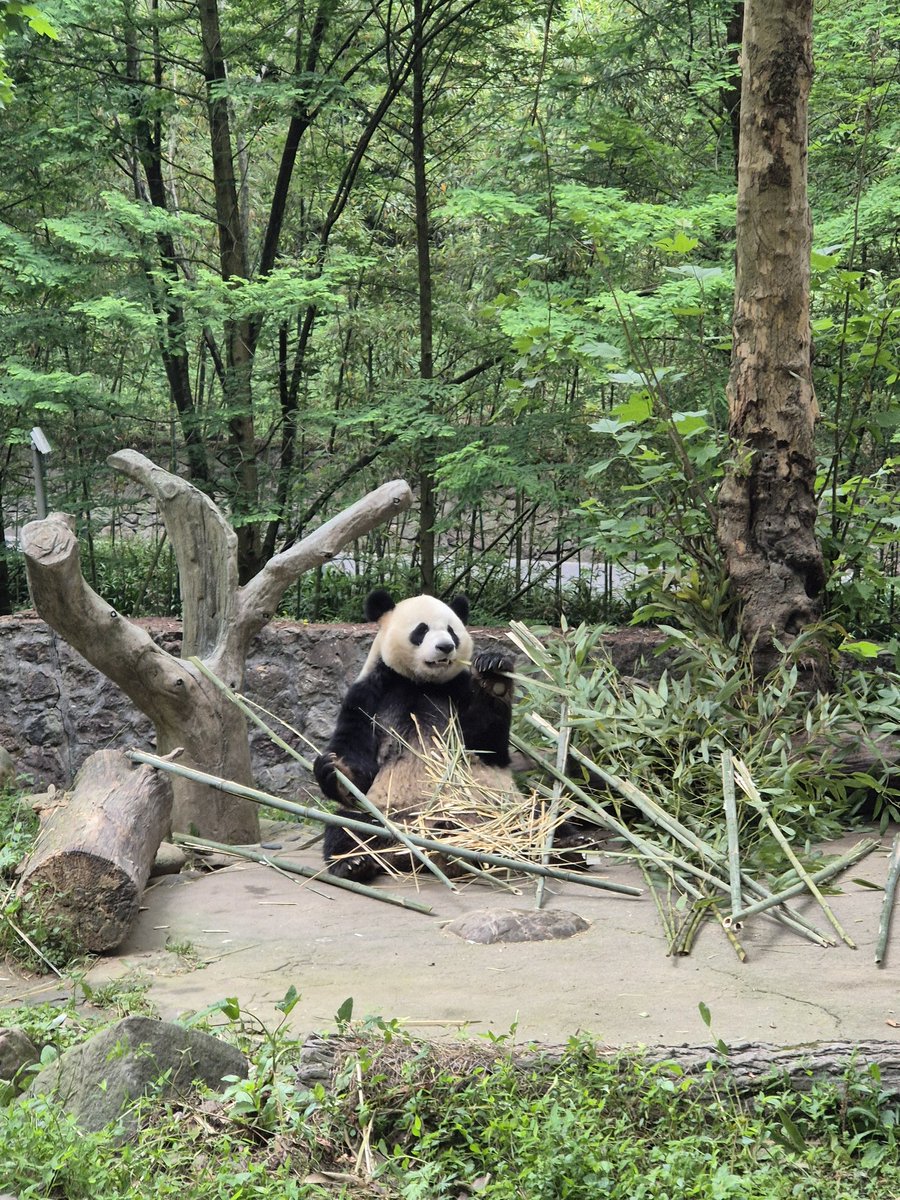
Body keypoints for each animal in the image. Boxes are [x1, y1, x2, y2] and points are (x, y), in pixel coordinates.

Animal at [313, 589, 517, 882]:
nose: (446, 647)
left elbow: (486, 745)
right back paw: (353, 863)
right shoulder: (369, 693)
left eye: (452, 631)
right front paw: (333, 769)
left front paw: (494, 673)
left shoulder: (458, 689)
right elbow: (358, 760)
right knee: (345, 826)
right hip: (383, 816)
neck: (421, 682)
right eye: (421, 630)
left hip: (496, 808)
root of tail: (411, 856)